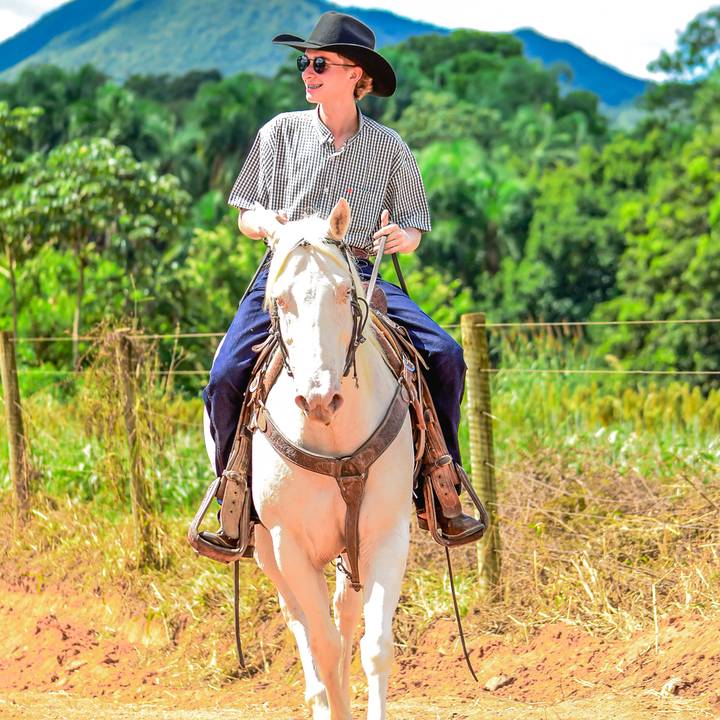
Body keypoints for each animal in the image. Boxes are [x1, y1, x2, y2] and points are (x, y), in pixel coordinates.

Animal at [204, 197, 415, 719]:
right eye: (279, 300)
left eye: (344, 292)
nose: (318, 399)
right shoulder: (289, 544)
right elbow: (322, 644)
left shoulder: (386, 533)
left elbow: (374, 646)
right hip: (265, 549)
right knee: (301, 622)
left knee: (345, 613)